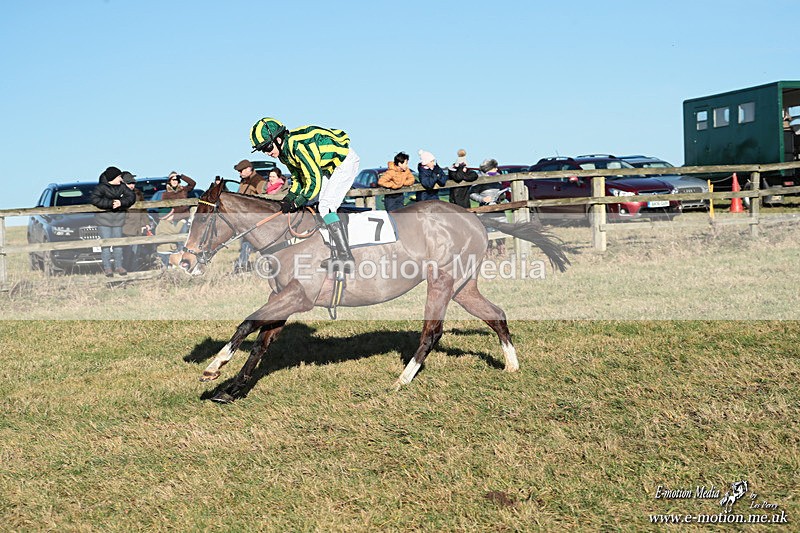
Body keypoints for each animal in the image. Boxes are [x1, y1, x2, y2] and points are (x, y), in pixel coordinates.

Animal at [180, 179, 569, 403]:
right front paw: (232, 389)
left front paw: (214, 368)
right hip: (463, 286)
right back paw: (511, 365)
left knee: (432, 331)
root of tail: (473, 216)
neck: (285, 237)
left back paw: (401, 380)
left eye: (201, 219)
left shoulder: (298, 297)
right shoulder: (283, 299)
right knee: (496, 315)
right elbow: (260, 345)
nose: (184, 261)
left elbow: (247, 324)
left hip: (441, 280)